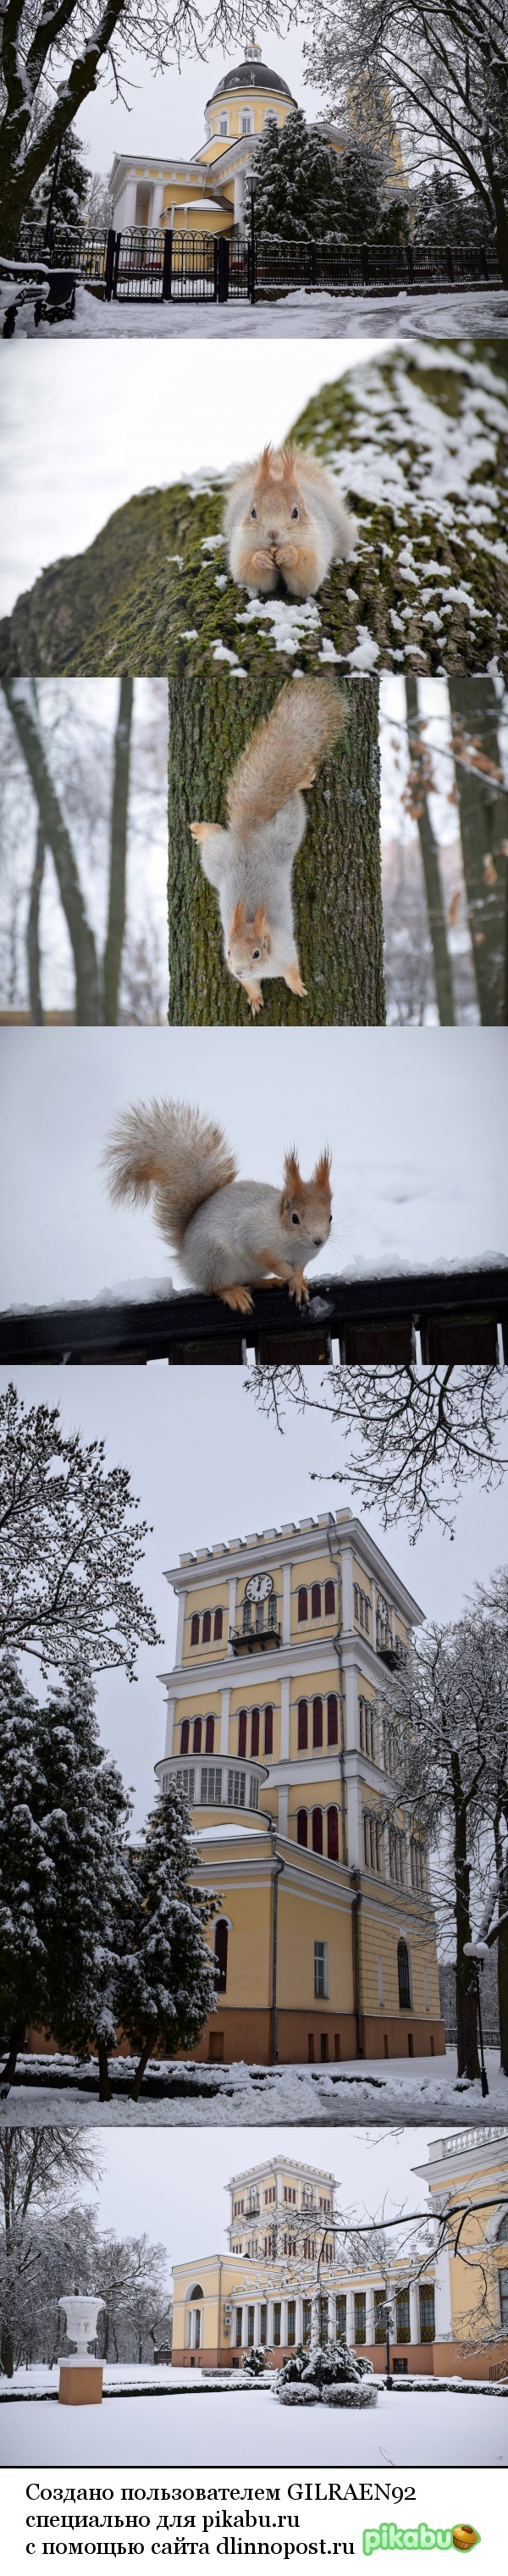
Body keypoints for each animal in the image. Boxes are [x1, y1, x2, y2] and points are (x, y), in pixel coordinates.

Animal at [102, 1097, 332, 1318]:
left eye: (330, 1217)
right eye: (295, 1218)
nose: (318, 1240)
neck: (294, 1244)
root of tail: (186, 1256)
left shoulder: (304, 1257)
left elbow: (300, 1269)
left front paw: (298, 1281)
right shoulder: (252, 1233)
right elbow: (263, 1256)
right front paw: (287, 1272)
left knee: (248, 1281)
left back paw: (267, 1282)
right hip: (217, 1259)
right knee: (216, 1286)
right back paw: (234, 1293)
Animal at [188, 680, 348, 1009]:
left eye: (256, 953)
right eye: (228, 952)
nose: (237, 970)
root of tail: (248, 832)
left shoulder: (287, 950)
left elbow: (292, 969)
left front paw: (297, 986)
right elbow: (251, 986)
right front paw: (255, 999)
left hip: (286, 832)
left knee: (292, 800)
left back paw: (299, 781)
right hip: (216, 861)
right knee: (213, 838)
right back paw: (200, 830)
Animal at [224, 448, 356, 602]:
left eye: (296, 512)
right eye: (253, 512)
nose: (273, 533)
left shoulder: (316, 544)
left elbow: (308, 575)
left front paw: (289, 554)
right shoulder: (241, 546)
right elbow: (248, 573)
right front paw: (260, 559)